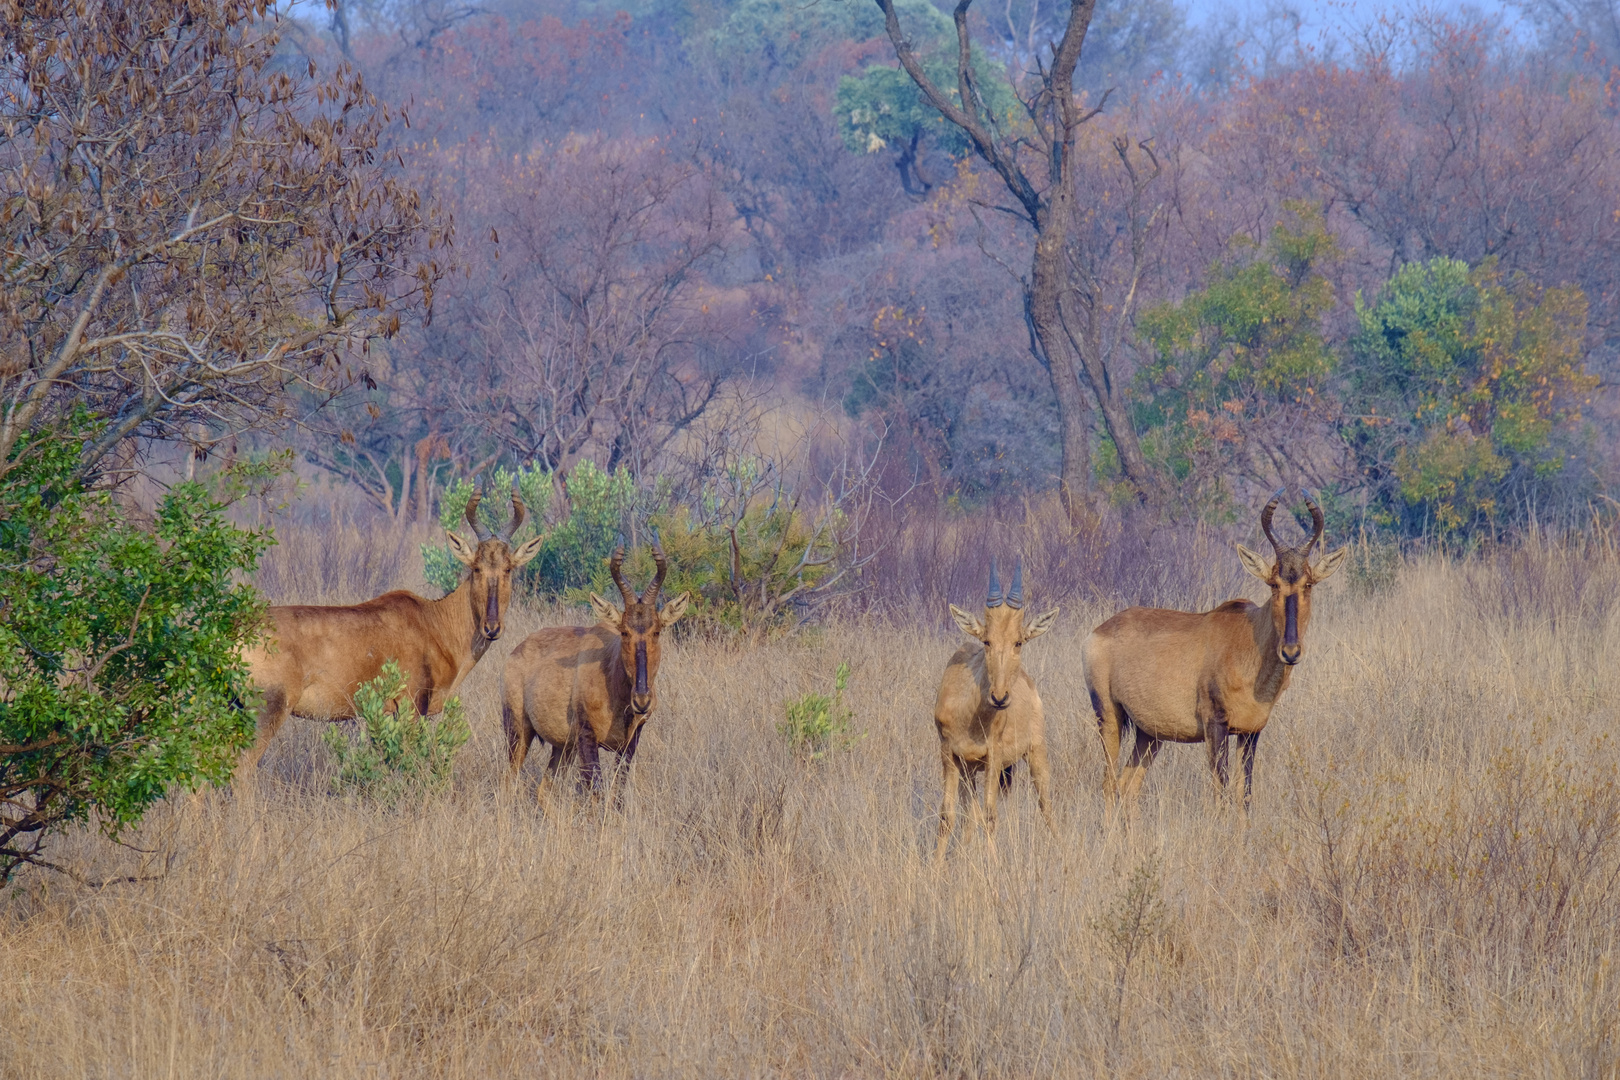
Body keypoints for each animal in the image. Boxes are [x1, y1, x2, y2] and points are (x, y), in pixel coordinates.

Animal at [239, 488, 541, 777]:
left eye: (508, 568)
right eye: (476, 567)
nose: (491, 628)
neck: (432, 620)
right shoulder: (410, 707)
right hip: (267, 710)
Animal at [498, 540, 690, 803]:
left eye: (657, 631)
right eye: (624, 631)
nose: (642, 700)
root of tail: (516, 651)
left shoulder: (629, 743)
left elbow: (617, 794)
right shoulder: (587, 739)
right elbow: (596, 794)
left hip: (563, 746)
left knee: (544, 789)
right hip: (518, 732)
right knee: (509, 782)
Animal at [933, 563, 1056, 867]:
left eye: (1019, 642)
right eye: (986, 640)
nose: (999, 697)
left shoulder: (994, 755)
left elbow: (990, 816)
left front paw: (994, 867)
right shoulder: (949, 755)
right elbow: (948, 816)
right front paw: (936, 868)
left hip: (1035, 752)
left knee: (1046, 806)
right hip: (969, 771)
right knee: (969, 815)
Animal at [1082, 488, 1347, 809]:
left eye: (1308, 583)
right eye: (1273, 583)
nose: (1290, 652)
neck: (1248, 638)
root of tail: (1098, 632)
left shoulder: (1250, 732)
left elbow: (1244, 796)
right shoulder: (1215, 726)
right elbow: (1221, 795)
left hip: (1150, 733)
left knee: (1128, 788)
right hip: (1109, 716)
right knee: (1109, 785)